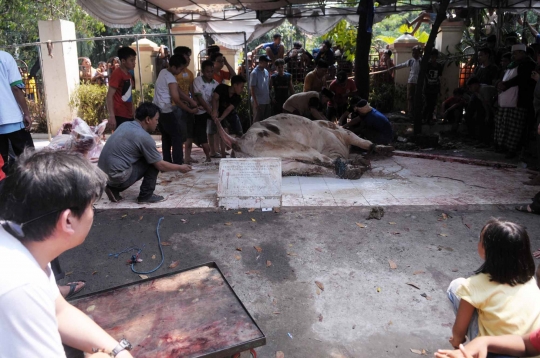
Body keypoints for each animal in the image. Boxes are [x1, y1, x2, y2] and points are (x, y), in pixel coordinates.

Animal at [213, 114, 394, 179]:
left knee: (320, 167)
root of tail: (237, 142)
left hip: (289, 165)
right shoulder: (344, 135)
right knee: (325, 161)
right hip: (294, 147)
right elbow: (364, 141)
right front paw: (383, 149)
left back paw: (356, 168)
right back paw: (354, 170)